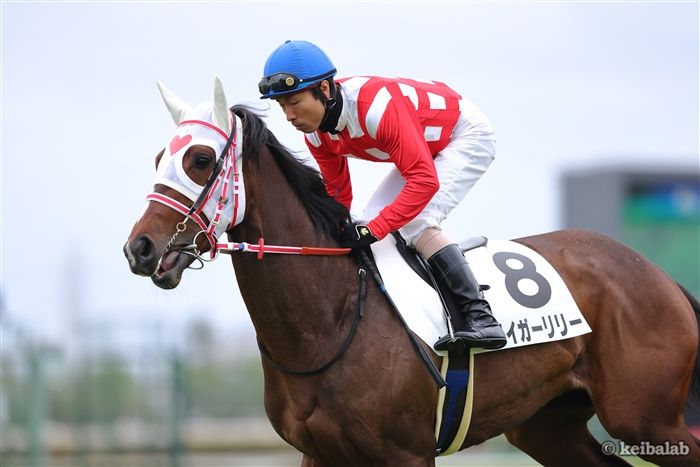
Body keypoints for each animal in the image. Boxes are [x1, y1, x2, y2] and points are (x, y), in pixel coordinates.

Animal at [124, 79, 700, 466]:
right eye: (156, 159)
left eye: (200, 160)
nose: (140, 249)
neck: (332, 317)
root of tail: (656, 273)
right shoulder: (320, 452)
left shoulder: (407, 452)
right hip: (547, 424)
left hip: (644, 414)